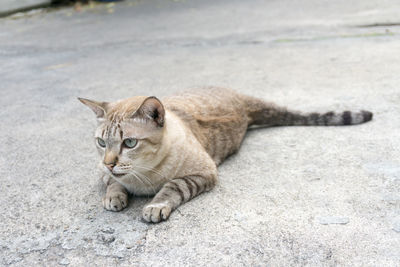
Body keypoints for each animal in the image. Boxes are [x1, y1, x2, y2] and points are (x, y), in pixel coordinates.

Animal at [78, 88, 372, 224]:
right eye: (102, 142)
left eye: (129, 142)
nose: (110, 162)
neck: (141, 178)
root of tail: (239, 98)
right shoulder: (102, 171)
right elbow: (113, 183)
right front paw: (114, 197)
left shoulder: (203, 172)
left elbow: (172, 187)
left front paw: (154, 206)